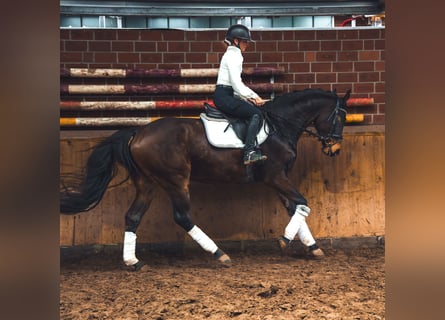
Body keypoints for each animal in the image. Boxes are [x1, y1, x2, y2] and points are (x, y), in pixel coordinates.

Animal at [59, 87, 350, 270]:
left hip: (147, 183)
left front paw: (312, 247)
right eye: (340, 118)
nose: (335, 149)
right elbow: (303, 203)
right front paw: (285, 240)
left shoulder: (278, 179)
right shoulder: (276, 176)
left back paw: (133, 262)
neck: (279, 126)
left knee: (133, 217)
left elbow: (295, 207)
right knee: (182, 217)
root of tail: (137, 133)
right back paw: (220, 254)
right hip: (176, 180)